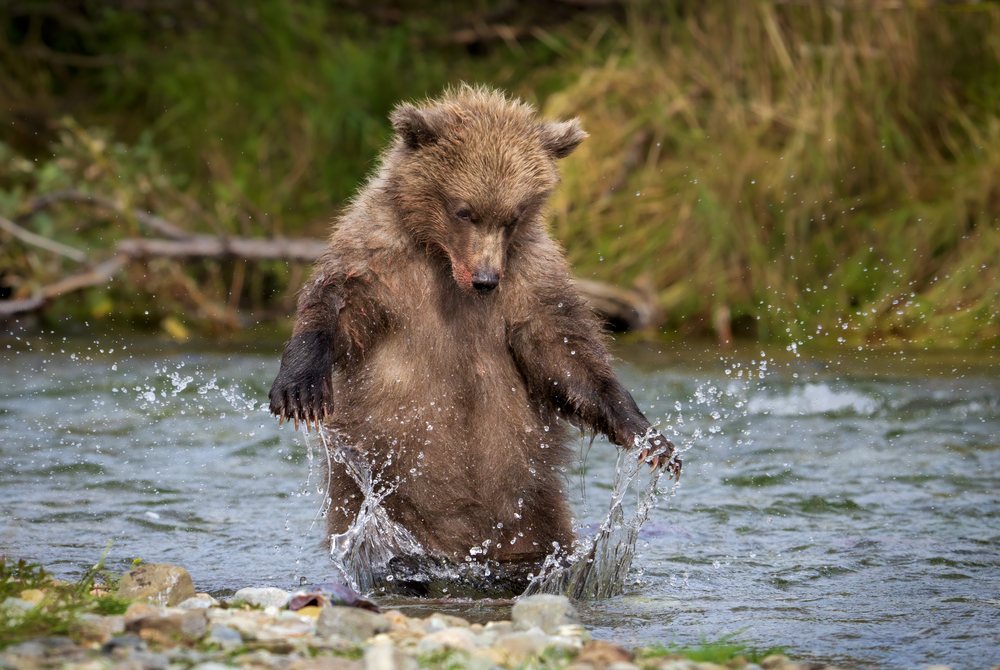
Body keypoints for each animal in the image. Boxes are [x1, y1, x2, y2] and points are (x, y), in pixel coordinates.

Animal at [268, 85, 680, 595]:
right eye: (463, 210)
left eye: (513, 215)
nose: (485, 280)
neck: (440, 257)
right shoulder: (382, 261)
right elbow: (337, 304)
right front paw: (300, 388)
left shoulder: (528, 279)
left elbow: (564, 353)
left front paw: (649, 437)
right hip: (372, 489)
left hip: (529, 504)